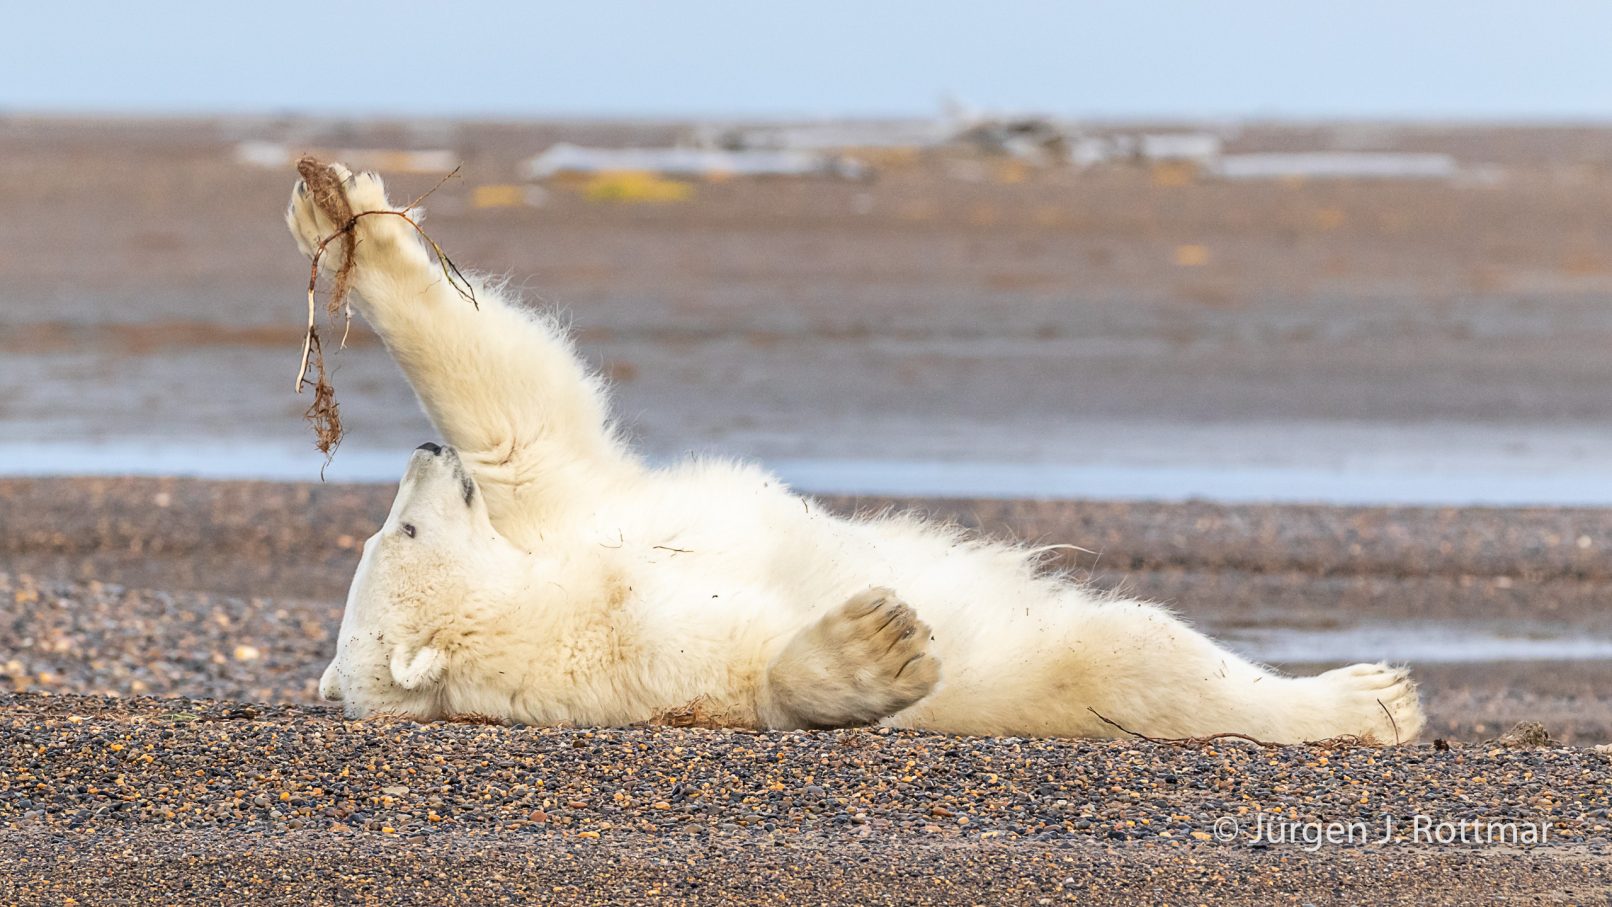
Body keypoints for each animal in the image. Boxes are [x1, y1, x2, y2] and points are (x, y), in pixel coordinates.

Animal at [289, 164, 1425, 743]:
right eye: (401, 530)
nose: (422, 454)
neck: (554, 595)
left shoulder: (576, 517)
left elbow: (519, 413)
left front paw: (343, 214)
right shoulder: (632, 657)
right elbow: (750, 669)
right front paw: (873, 643)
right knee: (1134, 656)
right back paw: (1370, 698)